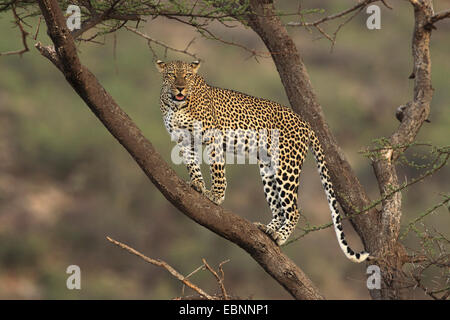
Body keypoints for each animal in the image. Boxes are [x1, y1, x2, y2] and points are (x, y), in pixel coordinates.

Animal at [156, 59, 370, 262]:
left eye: (187, 75)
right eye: (172, 75)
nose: (180, 88)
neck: (176, 106)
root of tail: (305, 122)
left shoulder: (213, 136)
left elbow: (217, 170)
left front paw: (216, 195)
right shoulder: (183, 139)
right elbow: (192, 164)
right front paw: (197, 184)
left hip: (287, 166)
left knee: (293, 210)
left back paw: (279, 236)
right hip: (268, 168)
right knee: (279, 208)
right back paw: (268, 230)